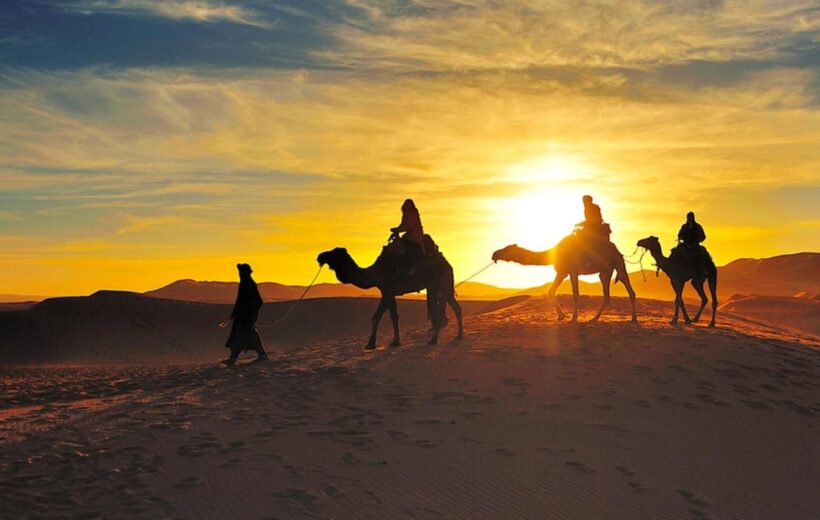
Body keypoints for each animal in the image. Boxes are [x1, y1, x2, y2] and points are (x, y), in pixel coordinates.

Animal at [318, 247, 464, 350]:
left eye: (334, 253)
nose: (320, 256)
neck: (374, 273)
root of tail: (448, 265)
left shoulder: (386, 291)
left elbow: (377, 316)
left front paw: (370, 344)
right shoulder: (390, 293)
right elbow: (393, 316)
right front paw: (395, 342)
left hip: (441, 284)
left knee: (441, 311)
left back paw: (433, 340)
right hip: (444, 287)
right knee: (457, 308)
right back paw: (459, 336)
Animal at [490, 235, 636, 322]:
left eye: (507, 249)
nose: (494, 254)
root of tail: (616, 249)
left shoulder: (573, 271)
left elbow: (576, 295)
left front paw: (573, 318)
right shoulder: (562, 272)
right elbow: (551, 291)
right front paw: (561, 316)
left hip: (618, 262)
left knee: (627, 285)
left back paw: (633, 319)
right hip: (605, 270)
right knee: (607, 294)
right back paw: (594, 319)